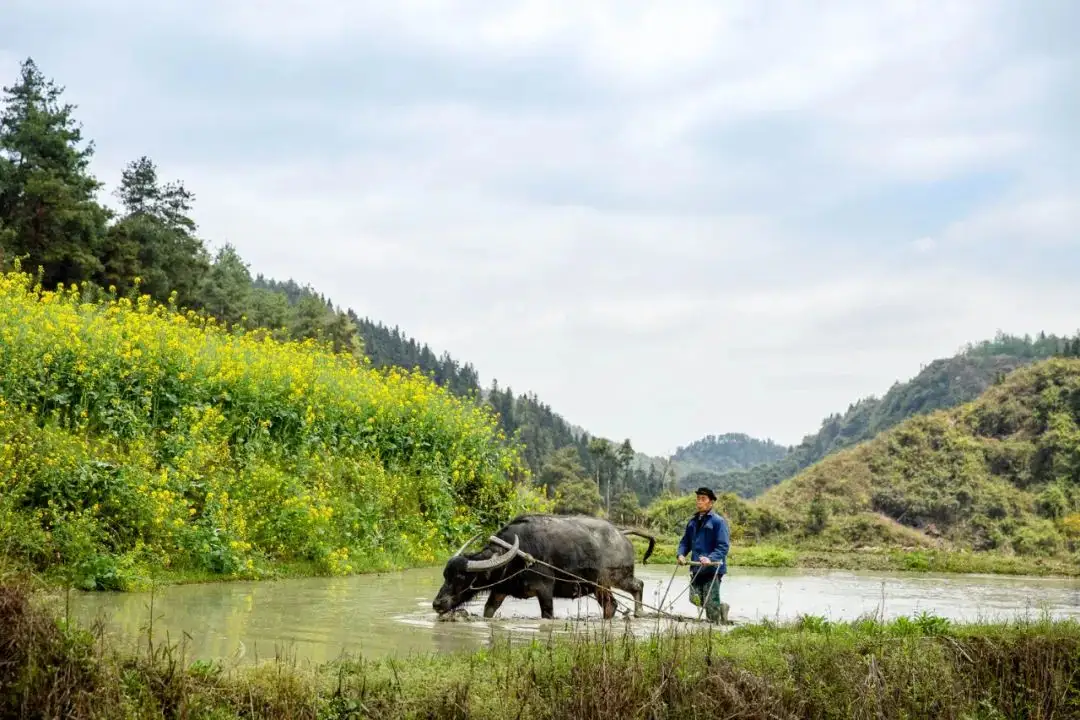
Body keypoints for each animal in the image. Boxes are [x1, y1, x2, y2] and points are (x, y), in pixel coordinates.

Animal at [432, 515, 656, 621]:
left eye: (461, 578)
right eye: (445, 575)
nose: (437, 604)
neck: (517, 557)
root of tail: (621, 534)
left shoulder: (545, 590)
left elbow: (547, 613)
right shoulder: (499, 591)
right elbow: (489, 610)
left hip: (617, 577)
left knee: (638, 585)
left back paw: (639, 613)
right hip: (600, 586)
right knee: (611, 605)